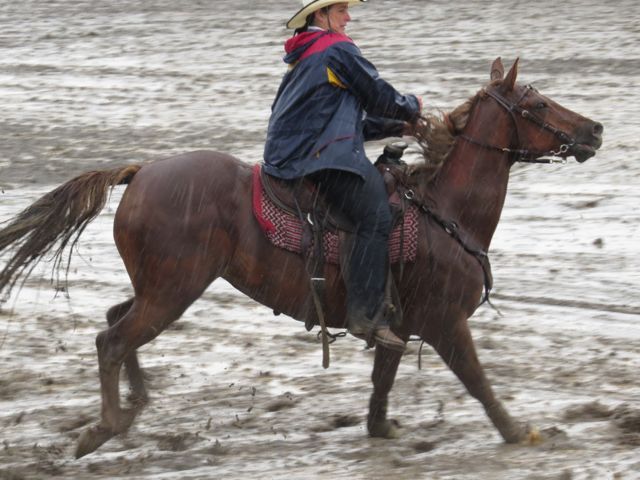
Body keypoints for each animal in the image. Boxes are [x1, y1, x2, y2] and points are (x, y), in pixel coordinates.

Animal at [0, 57, 600, 458]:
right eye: (537, 104)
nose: (594, 129)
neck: (442, 210)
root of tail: (141, 172)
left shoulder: (399, 322)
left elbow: (383, 380)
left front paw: (381, 429)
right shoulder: (445, 322)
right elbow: (477, 381)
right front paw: (518, 431)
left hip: (160, 286)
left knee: (115, 324)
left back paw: (133, 406)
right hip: (174, 290)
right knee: (113, 340)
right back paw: (104, 428)